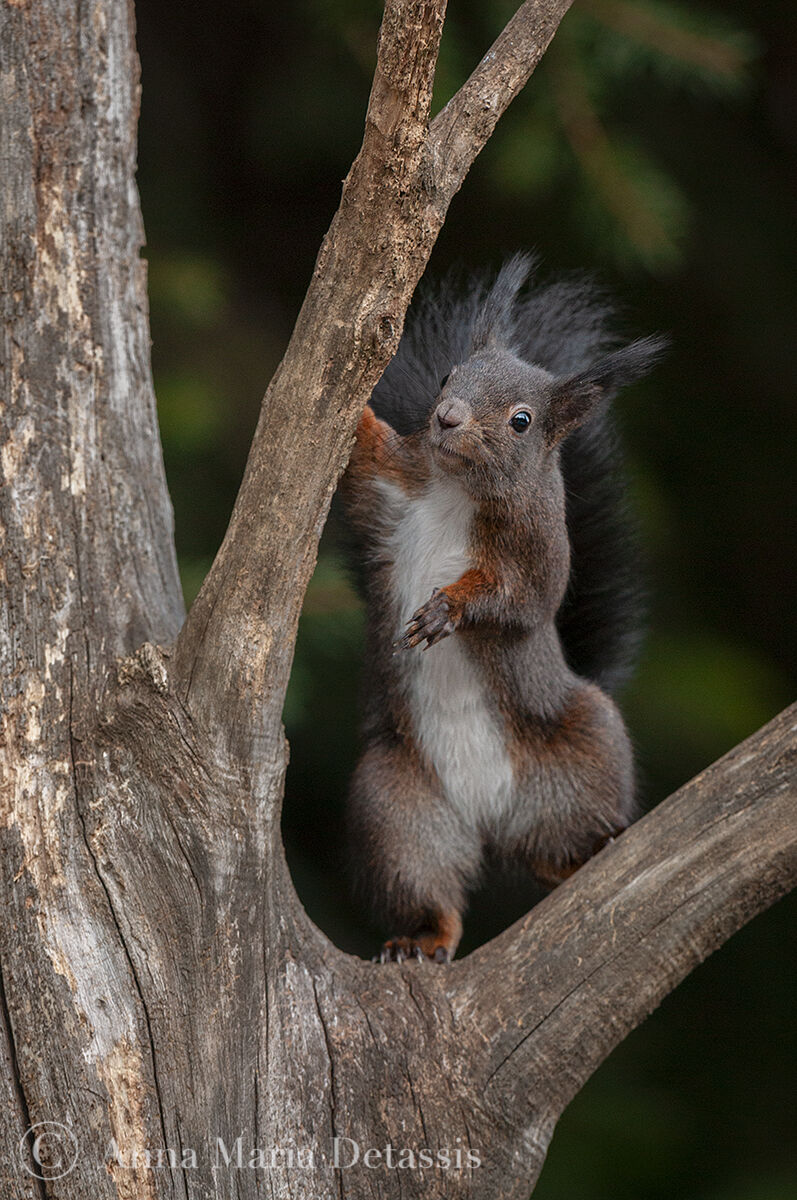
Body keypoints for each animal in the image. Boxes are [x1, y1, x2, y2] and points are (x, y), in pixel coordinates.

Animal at [341, 255, 664, 963]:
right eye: (446, 376)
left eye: (522, 420)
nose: (448, 417)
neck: (457, 488)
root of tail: (489, 820)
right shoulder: (389, 486)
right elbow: (366, 453)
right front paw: (351, 405)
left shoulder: (538, 552)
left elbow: (519, 597)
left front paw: (447, 610)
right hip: (398, 811)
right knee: (434, 892)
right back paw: (419, 941)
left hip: (587, 756)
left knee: (555, 853)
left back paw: (592, 851)